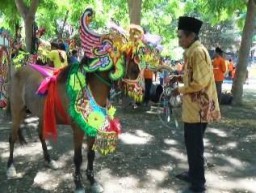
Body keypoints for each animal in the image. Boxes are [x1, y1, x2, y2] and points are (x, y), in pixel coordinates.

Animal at [5, 7, 162, 193]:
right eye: (131, 64)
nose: (142, 91)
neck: (89, 87)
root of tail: (18, 71)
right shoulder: (78, 129)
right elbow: (78, 157)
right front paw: (79, 184)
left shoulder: (92, 128)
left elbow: (91, 154)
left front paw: (93, 181)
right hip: (17, 111)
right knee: (12, 137)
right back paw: (10, 167)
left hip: (42, 113)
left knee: (40, 134)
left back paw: (49, 160)